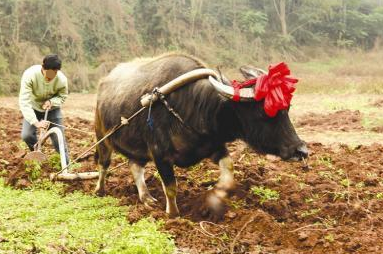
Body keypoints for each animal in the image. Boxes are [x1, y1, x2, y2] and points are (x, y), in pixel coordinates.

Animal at [96, 53, 308, 218]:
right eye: (264, 113)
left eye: (287, 109)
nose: (301, 150)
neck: (193, 106)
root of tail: (103, 85)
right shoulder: (160, 154)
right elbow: (170, 187)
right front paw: (173, 215)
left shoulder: (214, 146)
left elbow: (229, 170)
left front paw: (216, 197)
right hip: (102, 139)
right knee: (103, 165)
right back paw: (99, 190)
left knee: (135, 166)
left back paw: (146, 197)